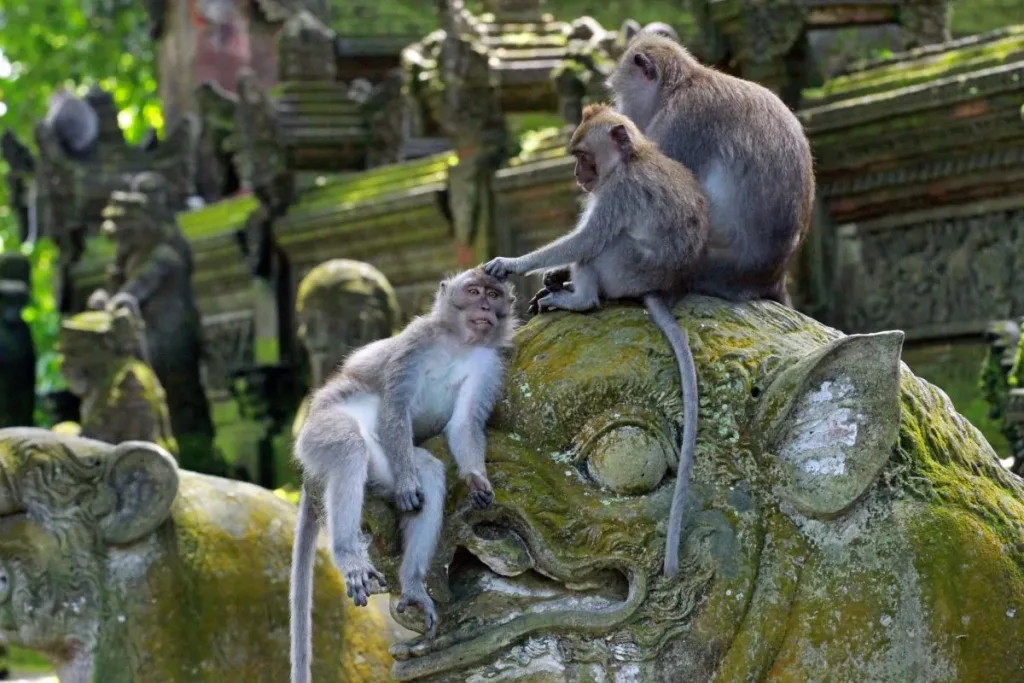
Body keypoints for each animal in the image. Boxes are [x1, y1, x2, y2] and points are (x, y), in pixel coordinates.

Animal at [289, 268, 517, 683]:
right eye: (473, 291)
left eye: (493, 294)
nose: (484, 307)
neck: (458, 343)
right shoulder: (416, 342)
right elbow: (395, 408)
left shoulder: (489, 364)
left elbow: (463, 424)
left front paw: (476, 480)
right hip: (318, 433)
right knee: (349, 446)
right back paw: (348, 554)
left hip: (385, 464)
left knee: (427, 470)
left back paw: (411, 584)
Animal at [482, 104, 709, 578]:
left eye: (584, 155)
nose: (577, 174)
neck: (631, 160)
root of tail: (659, 288)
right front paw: (550, 274)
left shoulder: (617, 194)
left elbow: (586, 239)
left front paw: (513, 264)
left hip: (624, 268)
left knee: (599, 246)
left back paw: (580, 299)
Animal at [607, 33, 815, 306]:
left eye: (620, 94)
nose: (621, 112)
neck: (678, 86)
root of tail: (772, 278)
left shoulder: (680, 123)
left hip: (705, 267)